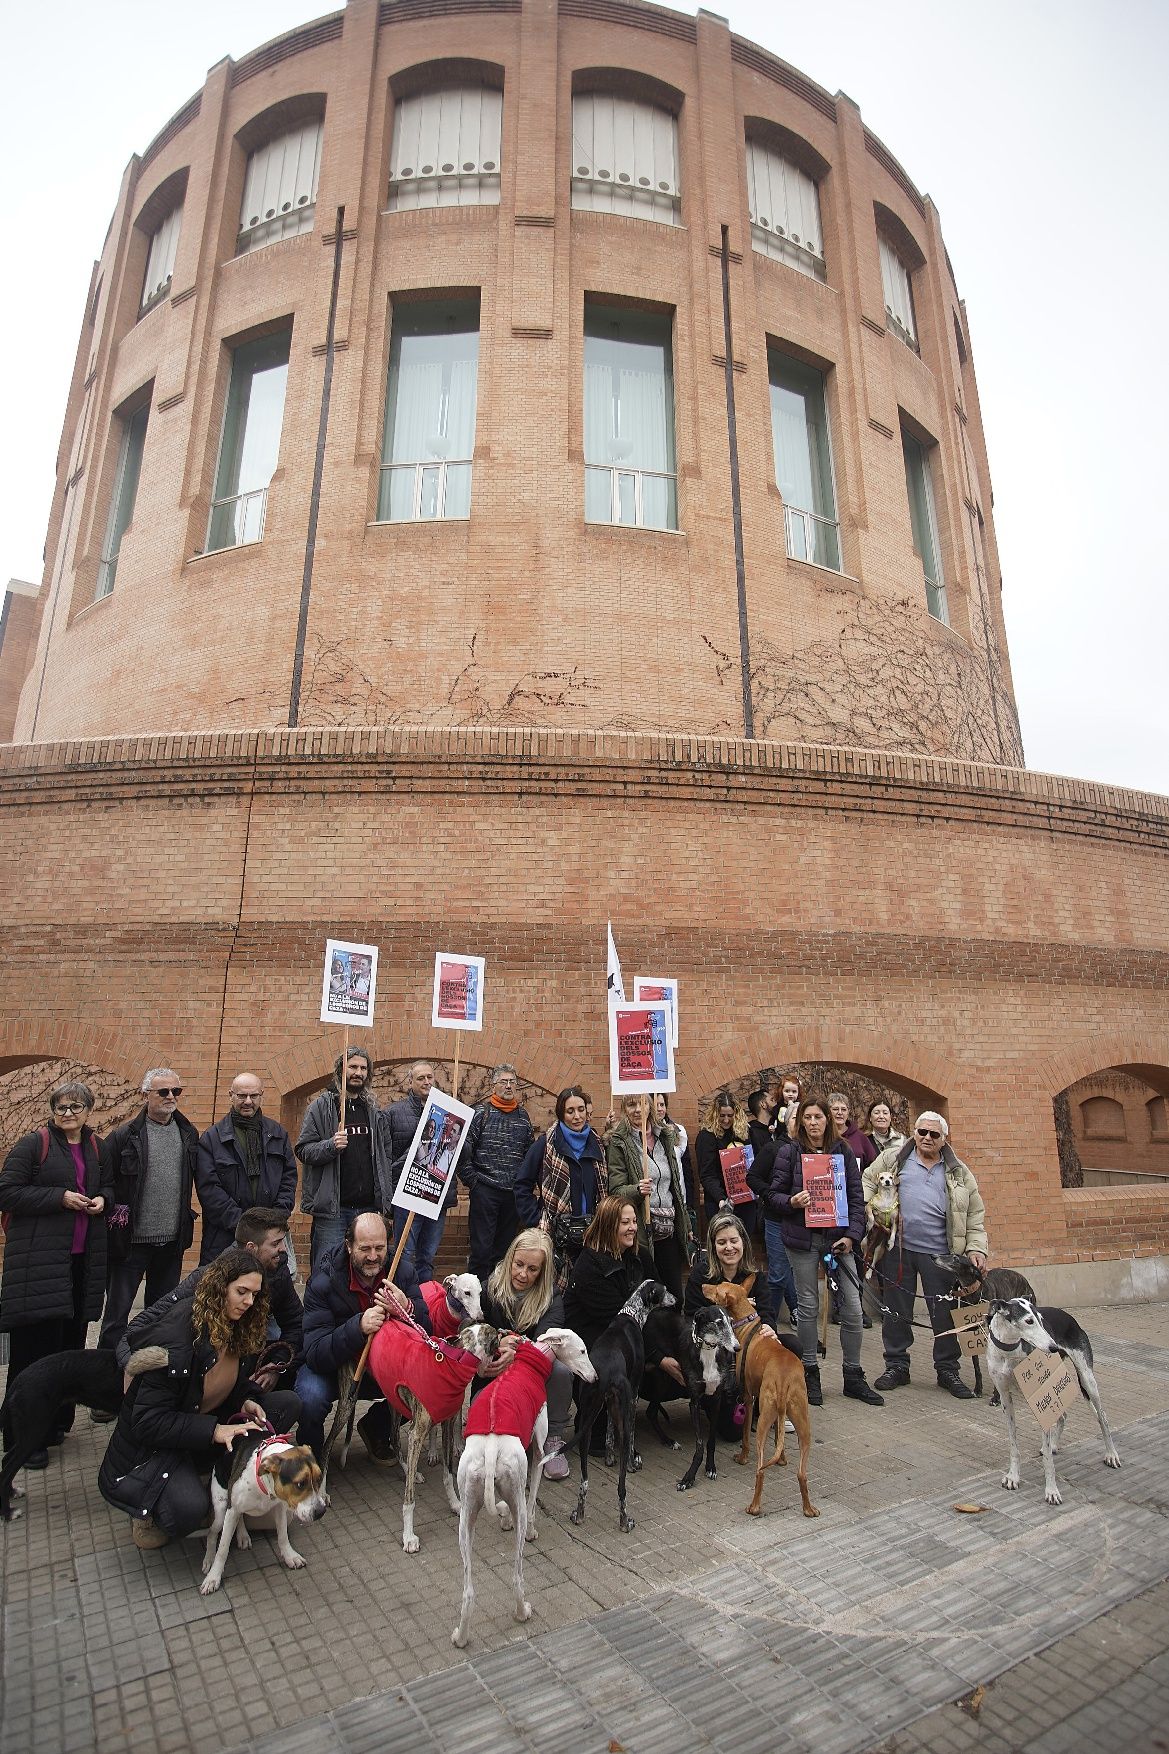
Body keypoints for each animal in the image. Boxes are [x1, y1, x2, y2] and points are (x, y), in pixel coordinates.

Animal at [445, 1333, 593, 1648]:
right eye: (582, 1350)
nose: (594, 1377)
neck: (528, 1362)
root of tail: (490, 1450)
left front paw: (503, 1519)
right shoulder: (537, 1453)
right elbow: (535, 1493)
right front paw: (531, 1529)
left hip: (466, 1514)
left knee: (468, 1591)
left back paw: (461, 1637)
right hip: (515, 1492)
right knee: (516, 1575)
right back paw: (522, 1611)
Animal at [565, 1276, 670, 1536]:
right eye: (664, 1290)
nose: (675, 1300)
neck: (630, 1314)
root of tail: (605, 1374)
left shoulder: (611, 1406)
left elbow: (609, 1432)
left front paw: (609, 1458)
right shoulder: (632, 1396)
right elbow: (628, 1440)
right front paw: (633, 1462)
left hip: (586, 1423)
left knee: (584, 1481)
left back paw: (579, 1515)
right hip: (624, 1407)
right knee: (621, 1487)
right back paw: (625, 1520)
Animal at [638, 1304, 737, 1494]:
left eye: (731, 1322)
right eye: (718, 1323)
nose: (737, 1347)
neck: (708, 1352)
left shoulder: (716, 1399)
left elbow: (711, 1440)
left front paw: (711, 1467)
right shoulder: (695, 1402)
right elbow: (699, 1444)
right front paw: (688, 1478)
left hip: (663, 1378)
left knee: (651, 1411)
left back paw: (668, 1440)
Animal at [989, 1297, 1116, 1501]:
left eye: (1040, 1319)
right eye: (1028, 1321)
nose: (1054, 1347)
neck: (1010, 1351)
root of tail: (1071, 1319)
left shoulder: (1038, 1399)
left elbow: (1048, 1459)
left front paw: (1051, 1490)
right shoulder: (1005, 1398)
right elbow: (1013, 1444)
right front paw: (1013, 1476)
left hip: (1087, 1380)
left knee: (1102, 1417)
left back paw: (1111, 1454)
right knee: (1063, 1417)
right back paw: (1054, 1445)